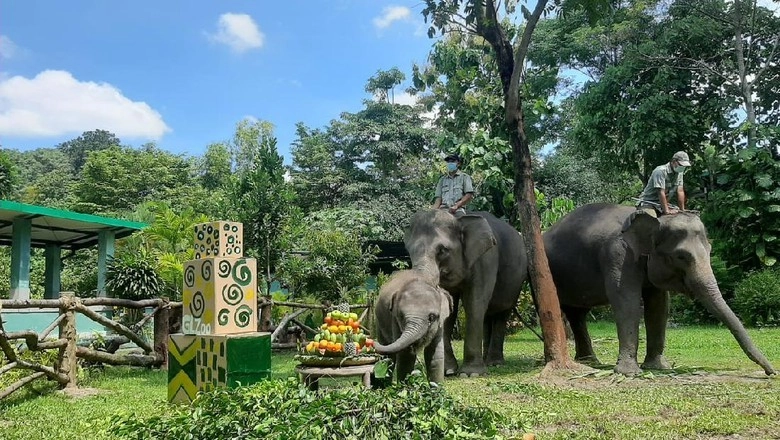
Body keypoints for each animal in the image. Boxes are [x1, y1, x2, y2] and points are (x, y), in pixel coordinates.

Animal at [402, 209, 532, 374]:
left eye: (442, 250)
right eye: (409, 250)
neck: (459, 219)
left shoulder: (485, 259)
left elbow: (474, 304)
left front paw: (471, 373)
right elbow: (449, 309)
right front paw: (448, 371)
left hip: (515, 282)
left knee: (501, 313)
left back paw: (495, 363)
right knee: (487, 316)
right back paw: (486, 360)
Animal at [544, 205, 776, 376]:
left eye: (710, 250)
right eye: (681, 256)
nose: (771, 372)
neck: (654, 219)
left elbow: (659, 306)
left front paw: (658, 367)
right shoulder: (617, 255)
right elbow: (627, 302)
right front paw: (629, 373)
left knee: (577, 314)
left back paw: (590, 361)